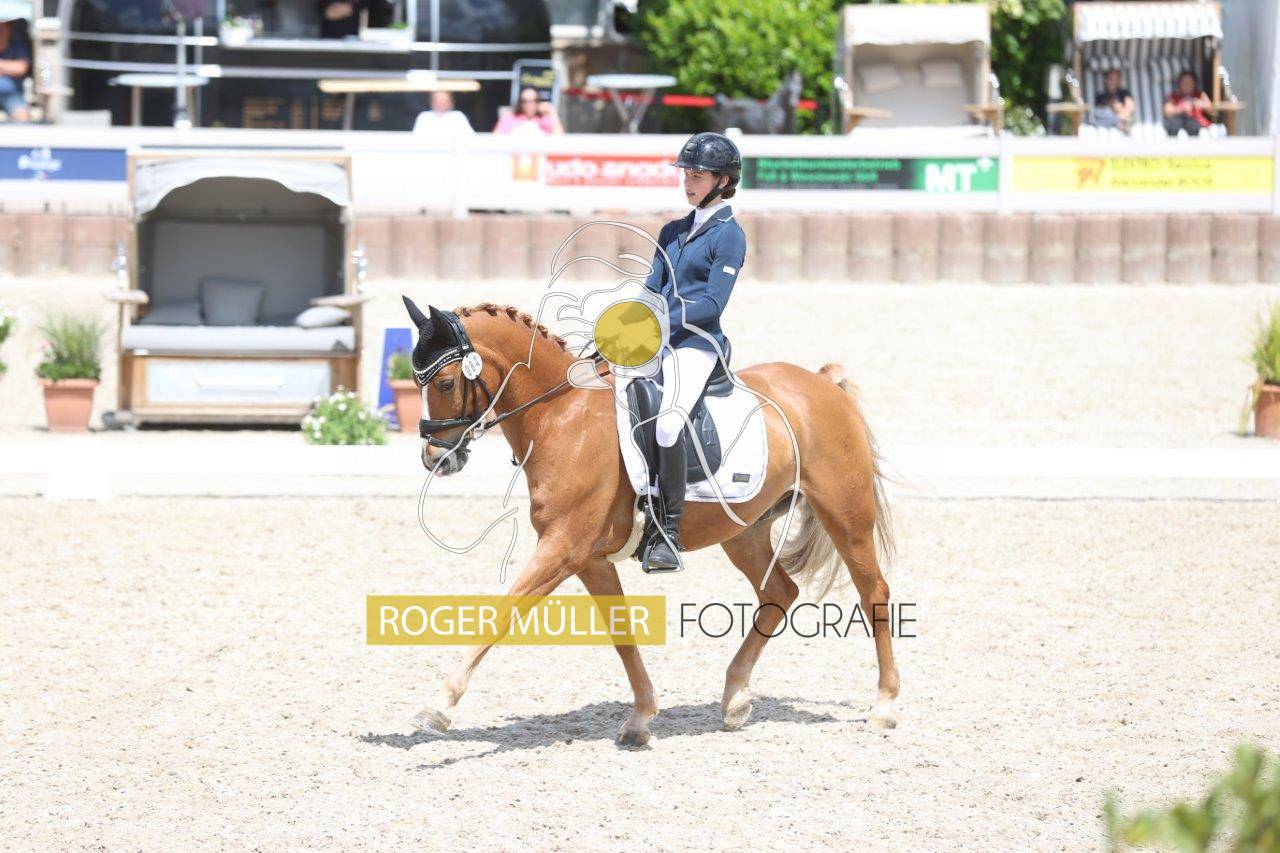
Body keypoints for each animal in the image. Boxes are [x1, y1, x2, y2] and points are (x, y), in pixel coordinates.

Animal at [403, 298, 898, 746]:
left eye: (444, 382)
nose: (434, 459)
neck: (561, 415)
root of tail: (821, 382)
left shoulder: (563, 547)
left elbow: (502, 613)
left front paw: (439, 705)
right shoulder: (589, 559)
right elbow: (621, 633)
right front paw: (641, 718)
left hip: (845, 513)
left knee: (873, 592)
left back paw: (883, 706)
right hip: (744, 530)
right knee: (780, 592)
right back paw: (735, 699)